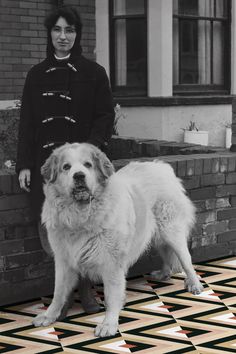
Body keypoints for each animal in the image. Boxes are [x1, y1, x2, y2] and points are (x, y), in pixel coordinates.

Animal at [32, 142, 203, 336]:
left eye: (88, 164)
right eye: (66, 167)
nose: (79, 175)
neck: (81, 216)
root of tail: (161, 166)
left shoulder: (111, 263)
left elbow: (111, 295)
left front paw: (109, 324)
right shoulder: (64, 260)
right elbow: (58, 292)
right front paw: (49, 315)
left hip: (172, 232)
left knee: (187, 261)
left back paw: (195, 284)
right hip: (158, 235)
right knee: (166, 255)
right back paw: (164, 273)